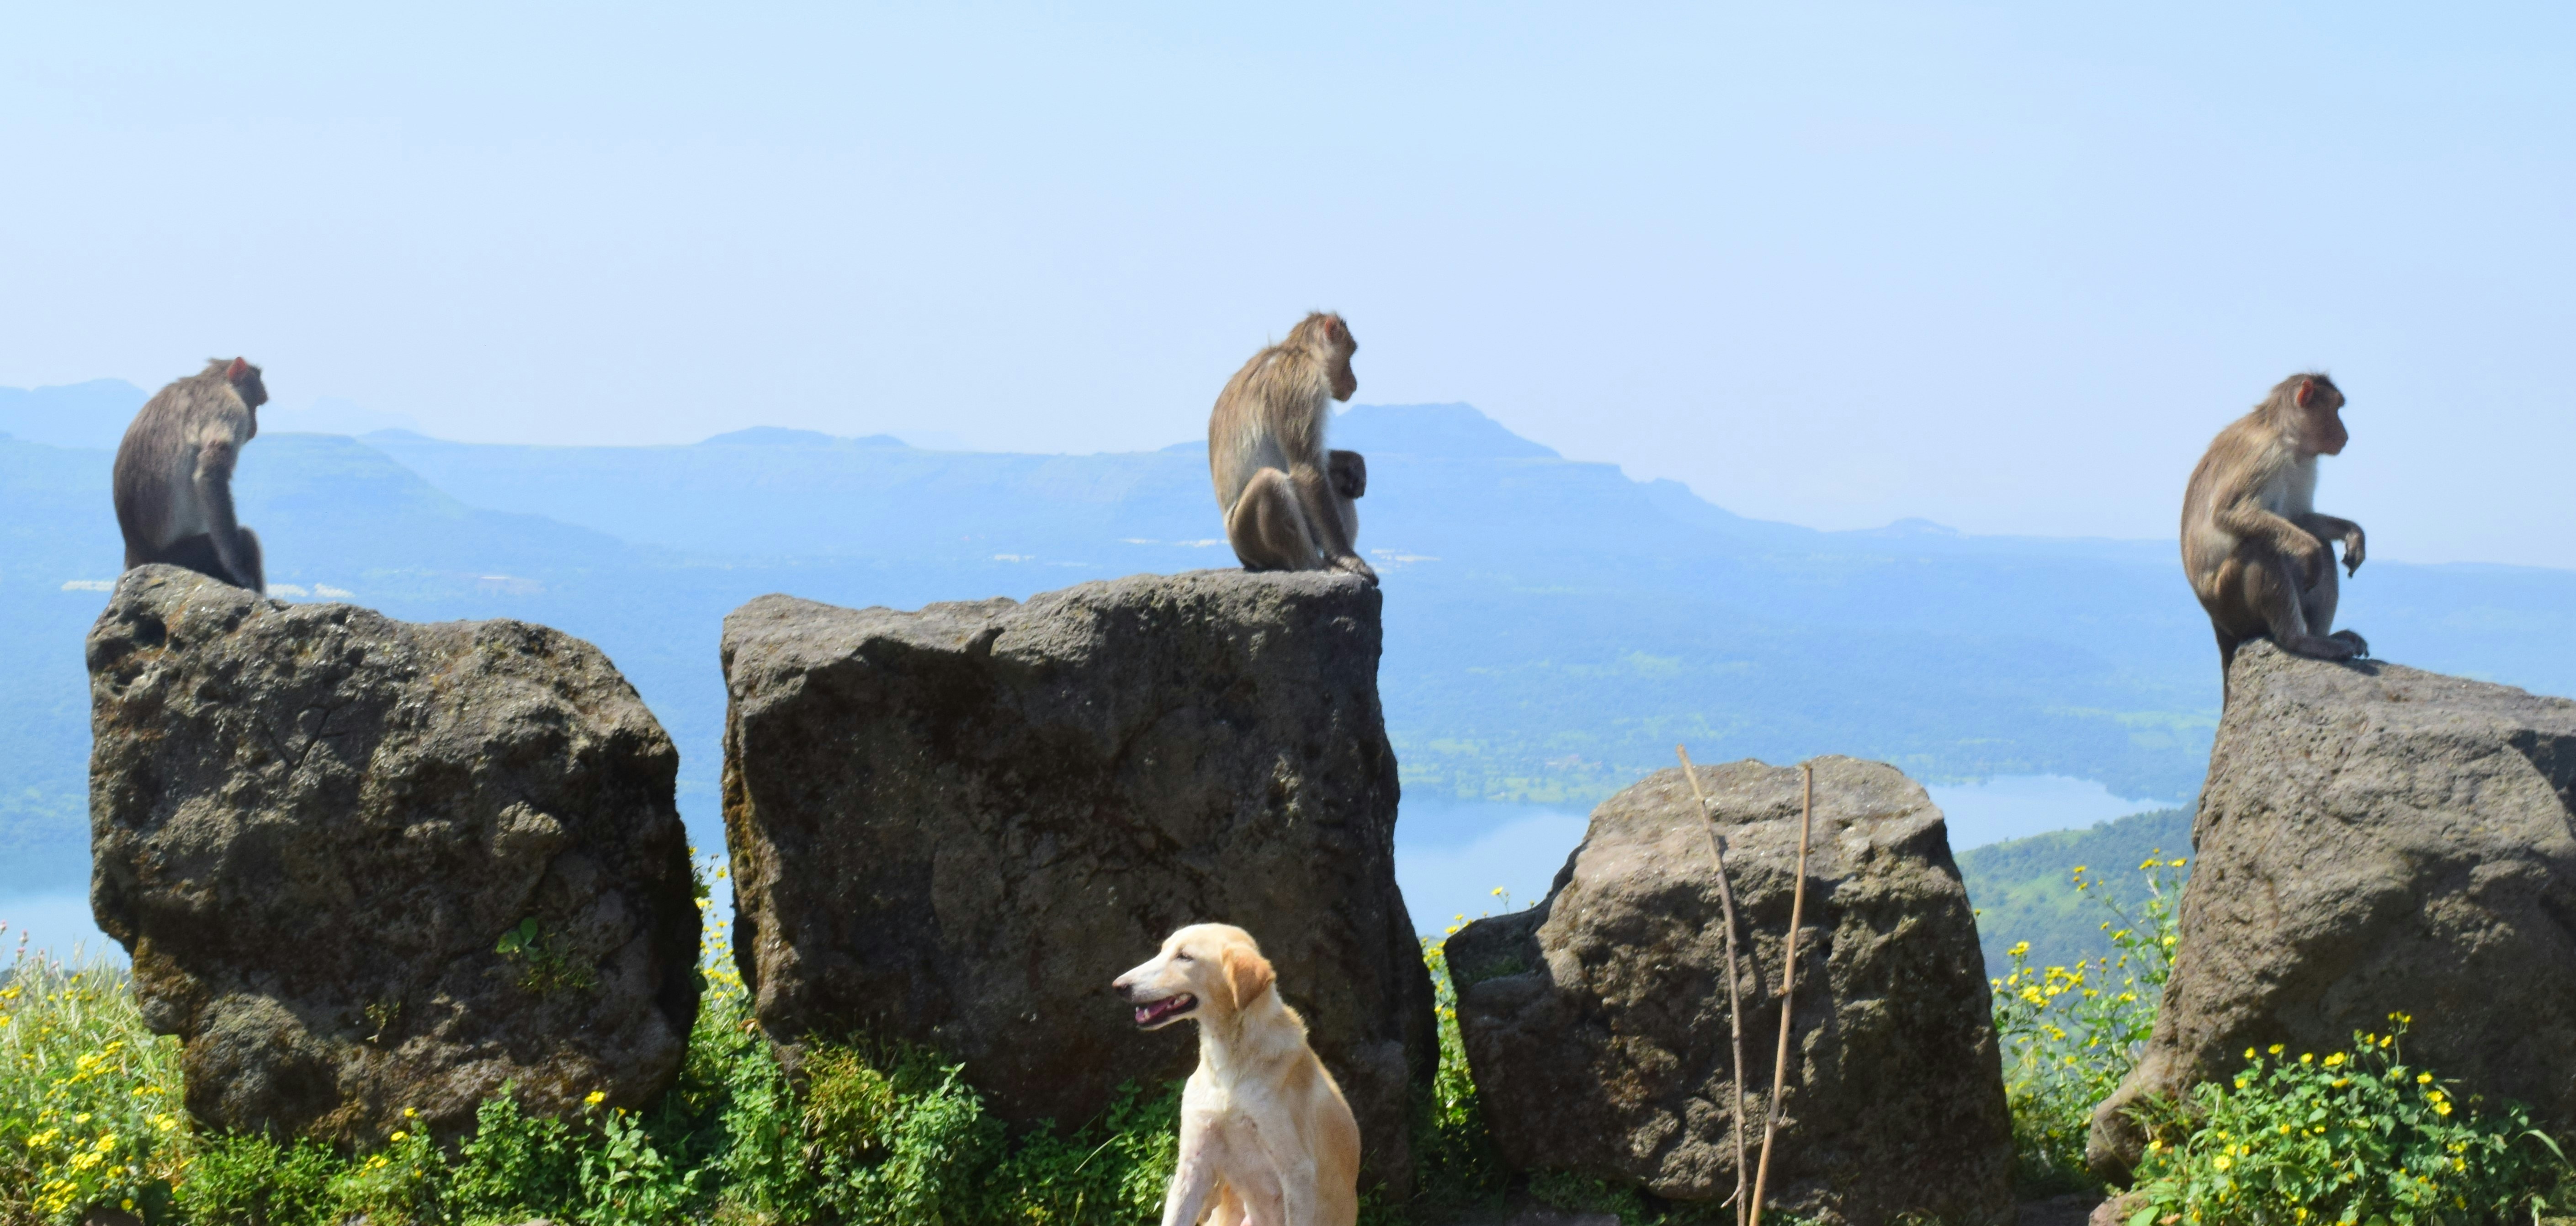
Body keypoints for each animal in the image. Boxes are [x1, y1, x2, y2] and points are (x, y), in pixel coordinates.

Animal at [113, 358, 268, 593]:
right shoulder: (231, 409)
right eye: (256, 404)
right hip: (182, 557)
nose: (255, 427)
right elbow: (211, 476)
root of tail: (137, 558)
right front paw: (238, 570)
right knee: (247, 538)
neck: (217, 382)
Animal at [1208, 312, 1376, 584]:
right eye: (1350, 356)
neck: (1299, 352)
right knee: (1270, 482)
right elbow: (1307, 469)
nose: (1355, 382)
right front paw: (1345, 556)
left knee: (1335, 484)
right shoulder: (1302, 384)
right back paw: (1316, 565)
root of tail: (1241, 557)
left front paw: (1354, 462)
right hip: (1246, 539)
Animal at [2180, 372, 2367, 691]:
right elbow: (2228, 513)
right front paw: (2309, 550)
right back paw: (2300, 641)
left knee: (2315, 544)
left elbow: (2298, 518)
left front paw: (2354, 534)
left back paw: (2322, 637)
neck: (2284, 434)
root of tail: (2216, 621)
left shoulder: (2304, 463)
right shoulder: (2265, 455)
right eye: (2336, 409)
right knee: (2263, 547)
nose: (2346, 435)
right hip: (2230, 601)